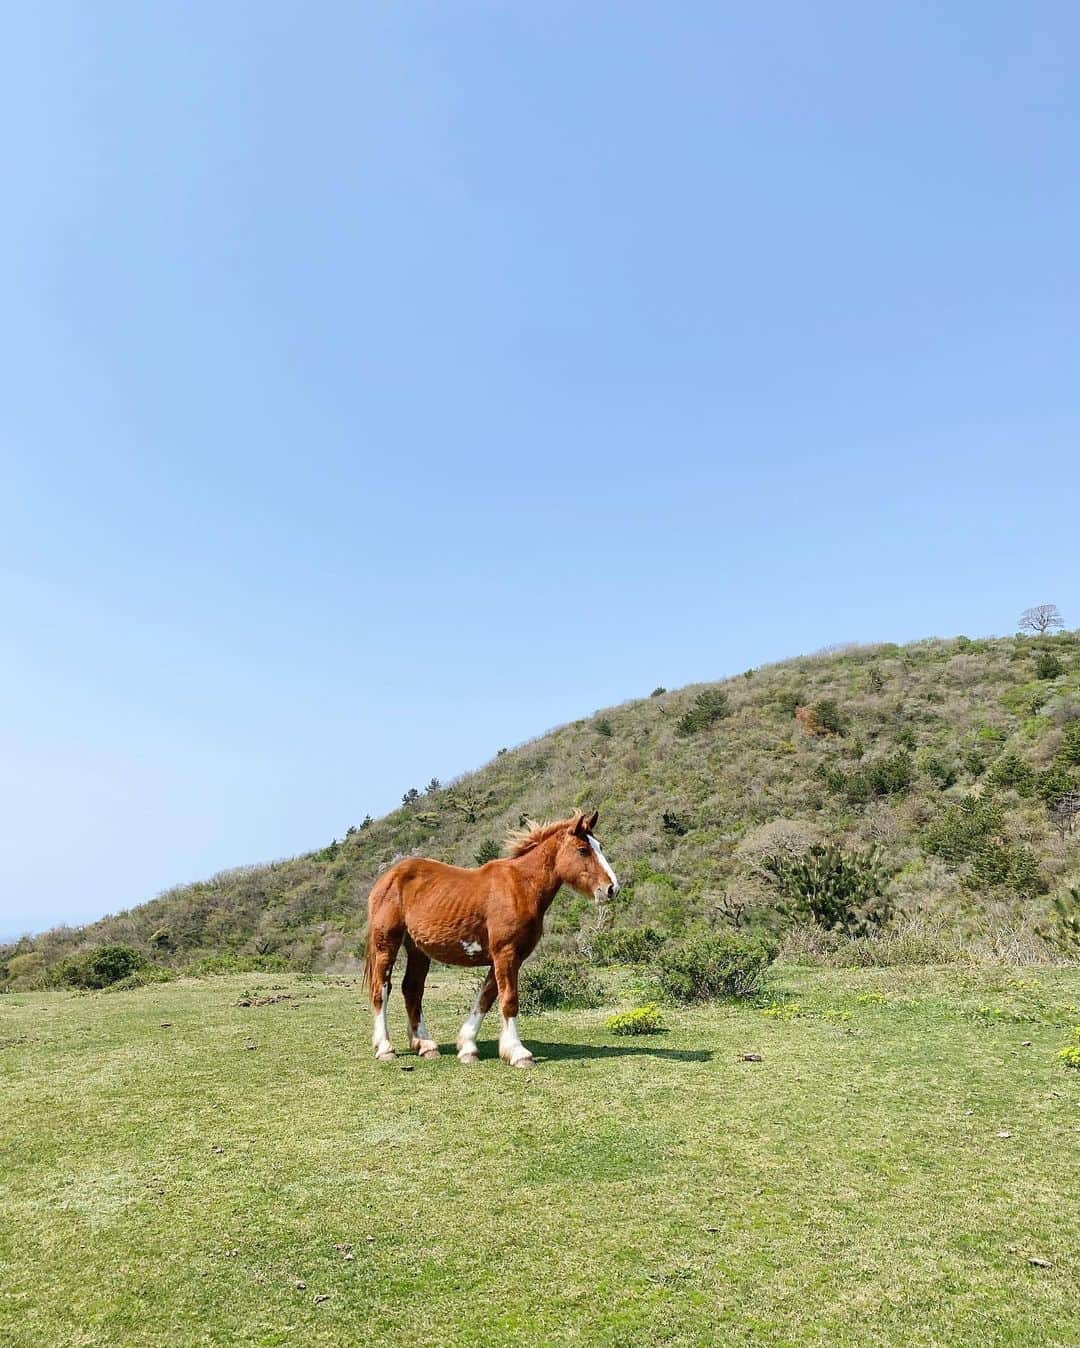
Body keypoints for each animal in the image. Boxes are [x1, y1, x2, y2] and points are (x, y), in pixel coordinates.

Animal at [361, 803, 614, 1067]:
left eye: (600, 847)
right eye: (583, 850)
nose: (611, 888)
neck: (521, 887)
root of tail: (387, 878)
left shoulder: (509, 957)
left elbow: (485, 999)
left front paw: (468, 1047)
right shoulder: (505, 953)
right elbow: (509, 1000)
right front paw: (518, 1053)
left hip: (418, 950)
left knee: (412, 989)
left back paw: (426, 1045)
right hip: (386, 945)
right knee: (381, 990)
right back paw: (385, 1047)